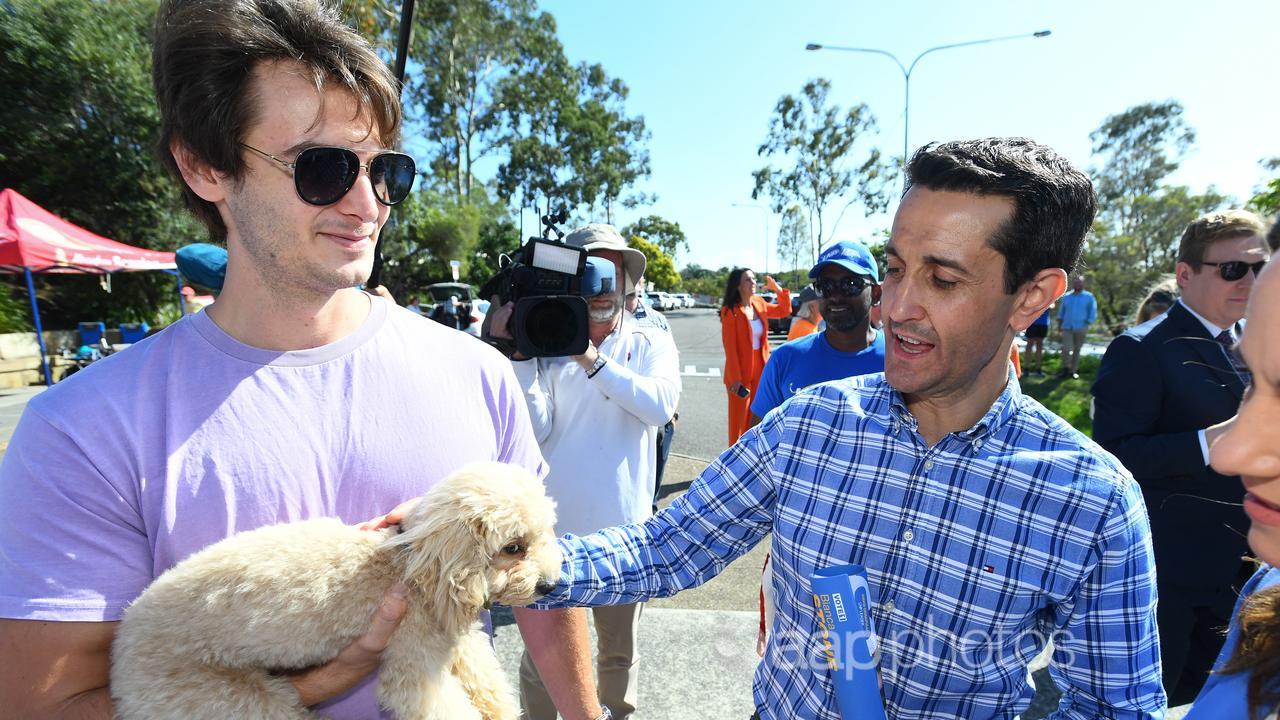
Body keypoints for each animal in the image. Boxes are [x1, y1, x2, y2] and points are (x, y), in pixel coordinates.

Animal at [112, 458, 563, 717]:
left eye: (546, 534)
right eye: (513, 547)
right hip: (222, 700)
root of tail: (120, 661)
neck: (411, 565)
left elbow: (488, 684)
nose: (550, 585)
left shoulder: (455, 642)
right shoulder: (414, 665)